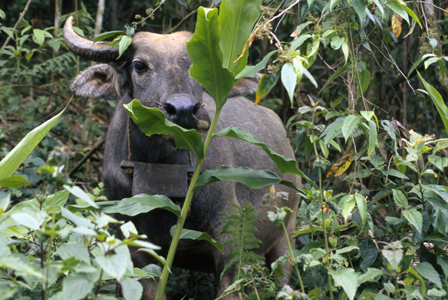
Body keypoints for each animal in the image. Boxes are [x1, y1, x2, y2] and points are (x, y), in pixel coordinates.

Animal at [63, 15, 300, 298]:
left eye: (197, 63)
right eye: (140, 65)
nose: (183, 110)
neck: (162, 168)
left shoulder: (230, 235)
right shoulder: (132, 242)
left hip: (287, 234)